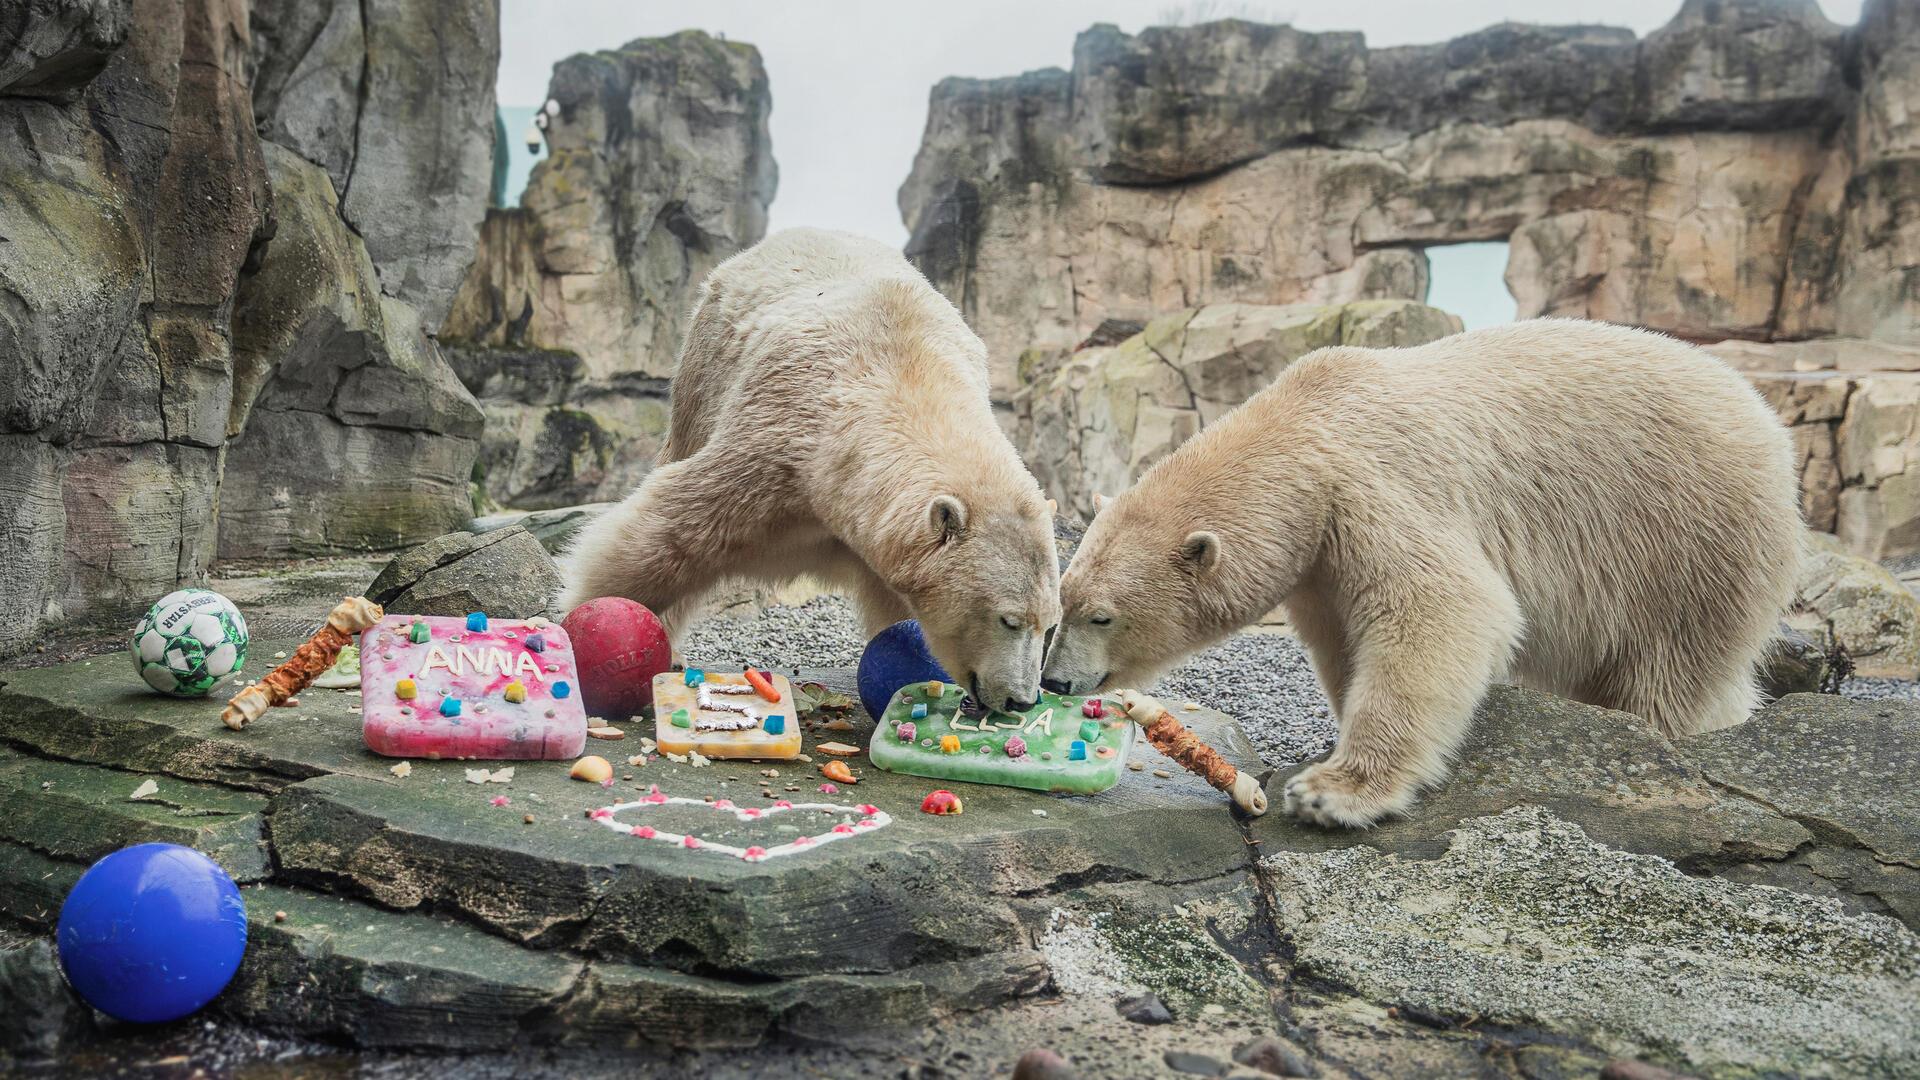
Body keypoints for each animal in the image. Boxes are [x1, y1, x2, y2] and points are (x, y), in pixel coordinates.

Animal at [556, 227, 1067, 714]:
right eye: (1009, 619)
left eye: (1049, 623)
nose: (1022, 699)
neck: (908, 370)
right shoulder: (777, 441)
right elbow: (670, 531)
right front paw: (586, 621)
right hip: (703, 369)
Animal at [1044, 317, 1804, 822]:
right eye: (1064, 601)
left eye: (1102, 616)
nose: (1054, 680)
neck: (1303, 432)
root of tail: (1764, 419)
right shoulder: (1320, 555)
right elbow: (1344, 638)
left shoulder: (1379, 486)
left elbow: (1442, 610)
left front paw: (1332, 790)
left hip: (1686, 536)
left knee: (1670, 669)